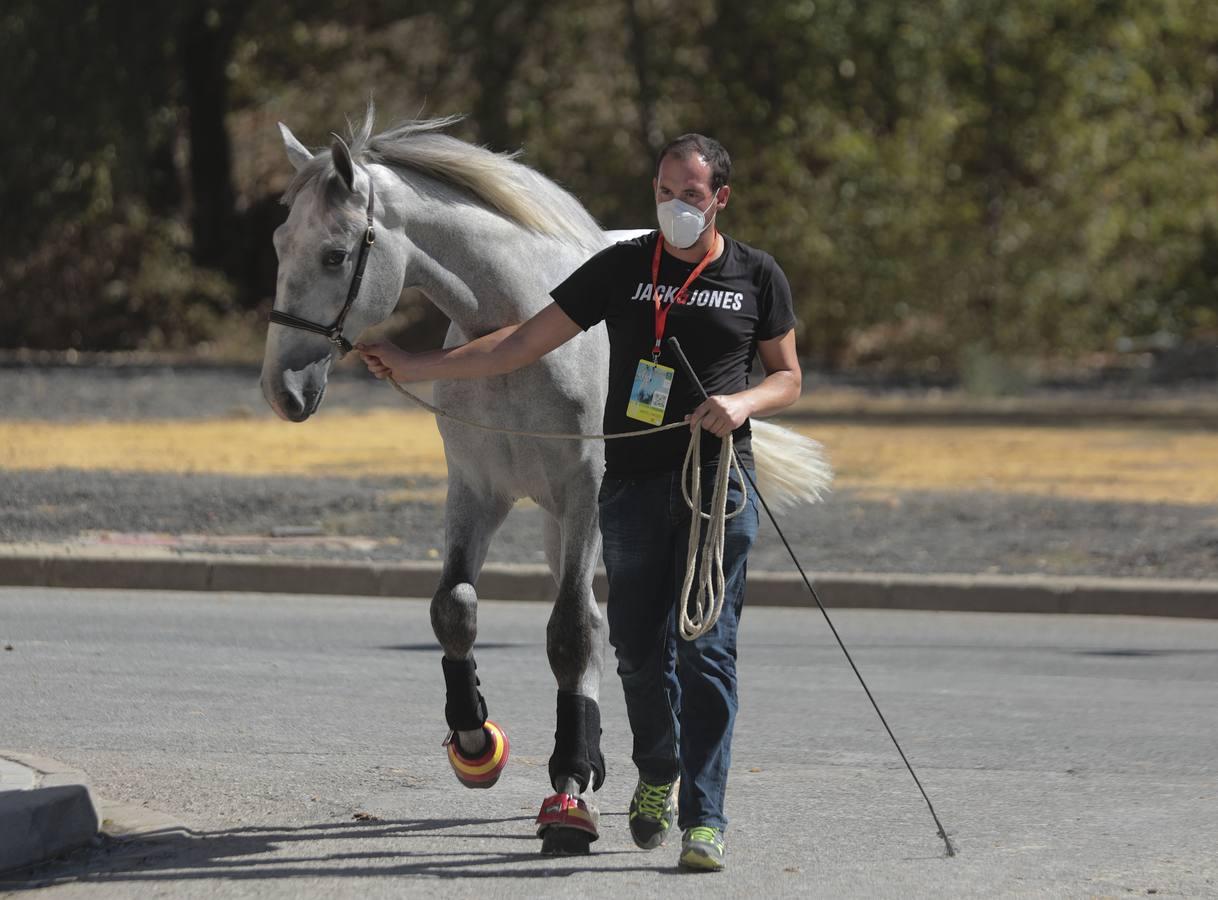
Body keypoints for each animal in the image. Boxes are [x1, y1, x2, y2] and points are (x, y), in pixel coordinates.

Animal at [265, 108, 623, 857]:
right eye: (281, 241)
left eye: (335, 256)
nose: (281, 390)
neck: (522, 329)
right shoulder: (475, 492)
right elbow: (453, 609)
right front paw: (475, 742)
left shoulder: (583, 493)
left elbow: (569, 633)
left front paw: (568, 797)